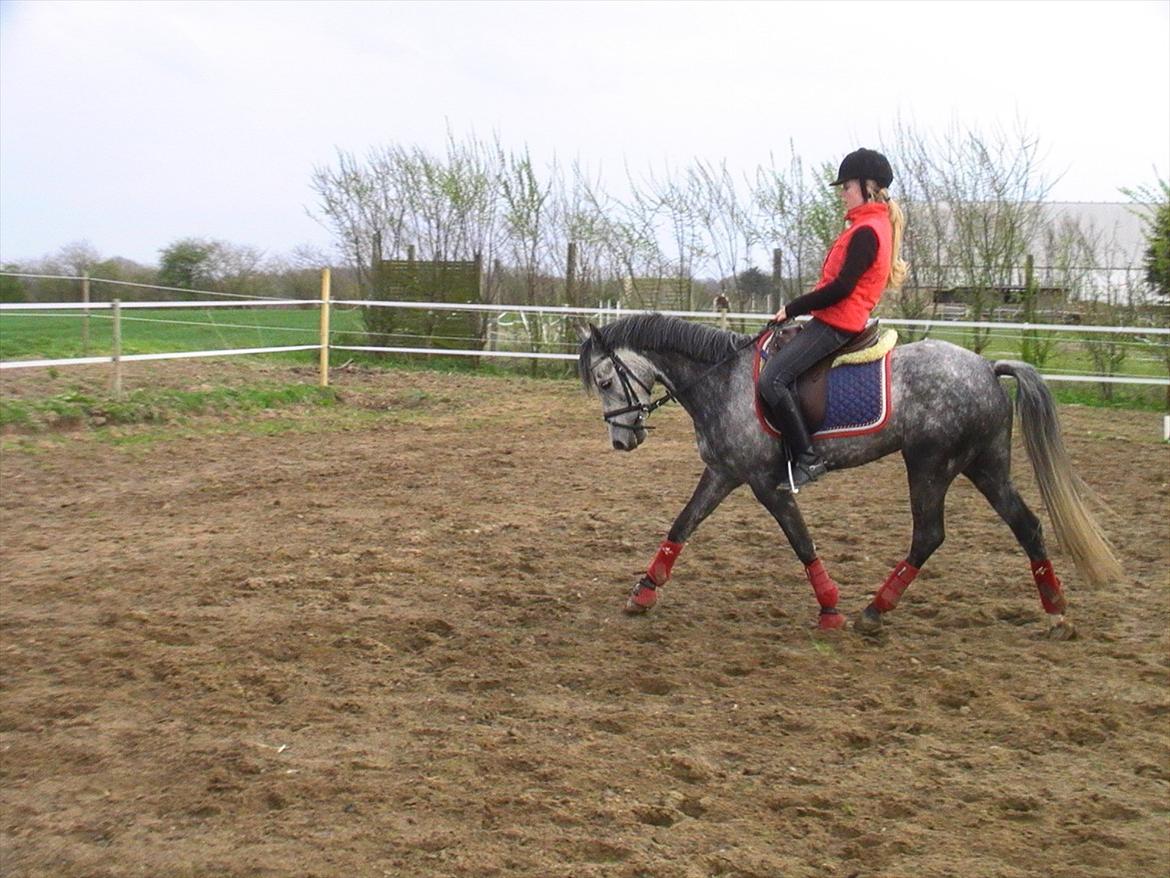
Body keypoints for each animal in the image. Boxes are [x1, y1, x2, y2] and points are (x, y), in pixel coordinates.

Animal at [576, 313, 1120, 639]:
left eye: (604, 380)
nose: (622, 441)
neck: (723, 381)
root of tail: (987, 368)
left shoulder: (766, 483)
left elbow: (801, 542)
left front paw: (830, 608)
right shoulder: (725, 472)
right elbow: (682, 525)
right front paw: (643, 591)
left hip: (930, 465)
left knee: (929, 535)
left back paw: (874, 610)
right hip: (983, 465)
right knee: (1026, 525)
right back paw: (1056, 611)